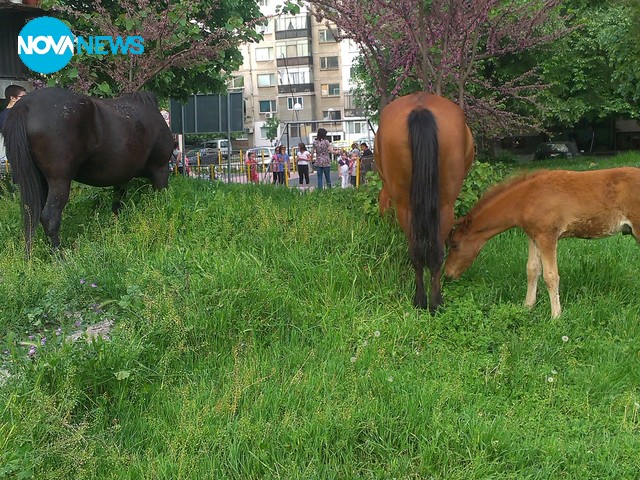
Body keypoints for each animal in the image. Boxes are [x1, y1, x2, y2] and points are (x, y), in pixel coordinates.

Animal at [1, 88, 172, 256]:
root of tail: (26, 104)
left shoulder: (122, 178)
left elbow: (117, 205)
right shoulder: (160, 171)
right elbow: (161, 203)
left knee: (30, 215)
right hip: (59, 181)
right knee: (49, 217)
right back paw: (59, 256)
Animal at [376, 93, 476, 312]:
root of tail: (421, 108)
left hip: (408, 206)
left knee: (418, 254)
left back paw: (422, 301)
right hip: (444, 204)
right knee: (434, 254)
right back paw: (434, 302)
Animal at [444, 167, 640, 316]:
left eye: (454, 244)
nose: (448, 275)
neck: (525, 198)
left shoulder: (547, 237)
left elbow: (551, 276)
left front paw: (556, 316)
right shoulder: (533, 236)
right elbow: (532, 270)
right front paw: (527, 307)